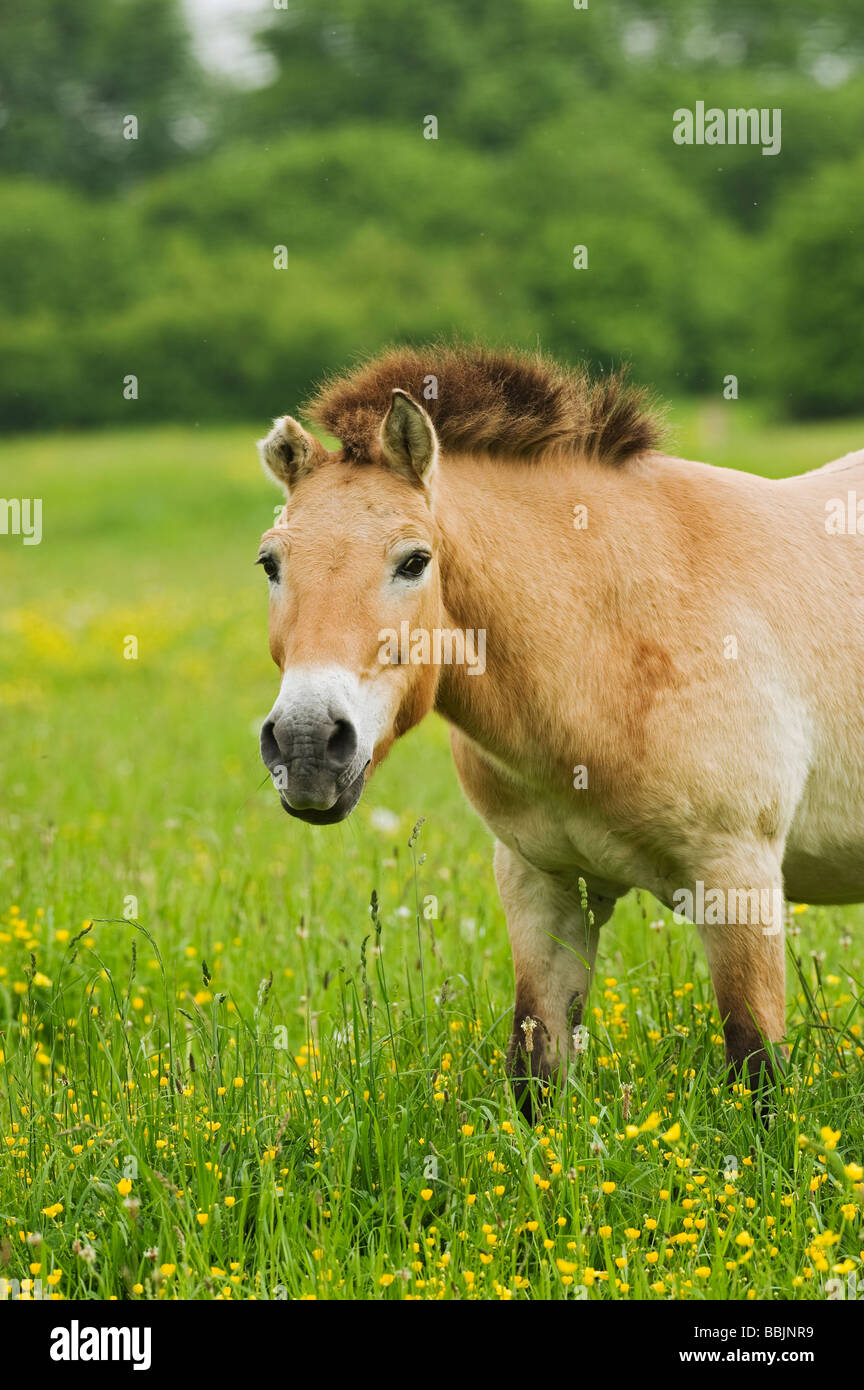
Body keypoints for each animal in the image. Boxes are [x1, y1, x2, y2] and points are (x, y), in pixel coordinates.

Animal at [254, 344, 864, 1106]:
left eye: (414, 562)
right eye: (270, 562)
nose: (306, 745)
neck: (618, 641)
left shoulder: (738, 879)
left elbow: (758, 1072)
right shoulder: (541, 884)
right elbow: (536, 1069)